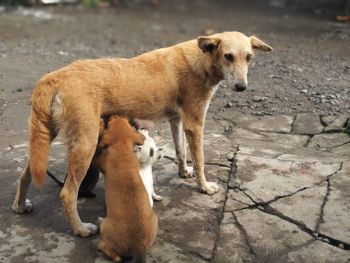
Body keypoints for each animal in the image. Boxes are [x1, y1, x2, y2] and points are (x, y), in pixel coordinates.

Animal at [11, 31, 274, 237]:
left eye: (248, 57)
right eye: (228, 56)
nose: (242, 87)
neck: (202, 58)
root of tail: (54, 76)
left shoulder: (177, 120)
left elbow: (181, 152)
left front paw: (184, 173)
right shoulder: (195, 123)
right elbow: (199, 159)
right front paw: (204, 186)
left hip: (45, 138)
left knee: (25, 175)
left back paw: (19, 206)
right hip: (85, 144)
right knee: (67, 194)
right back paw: (81, 229)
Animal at [94, 117, 157, 263]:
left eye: (110, 123)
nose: (112, 115)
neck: (121, 148)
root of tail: (138, 245)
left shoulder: (98, 162)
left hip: (107, 228)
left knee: (112, 254)